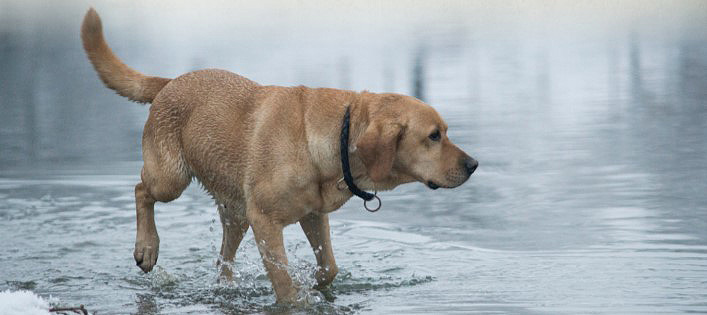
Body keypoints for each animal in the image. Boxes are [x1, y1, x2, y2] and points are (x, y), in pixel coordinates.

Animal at [81, 8, 482, 304]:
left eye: (445, 132)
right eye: (434, 136)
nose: (474, 165)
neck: (334, 137)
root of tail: (170, 81)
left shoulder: (313, 215)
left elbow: (329, 267)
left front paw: (317, 287)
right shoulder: (266, 221)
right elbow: (284, 283)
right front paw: (298, 297)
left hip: (236, 214)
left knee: (223, 261)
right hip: (172, 179)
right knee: (141, 190)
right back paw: (147, 248)